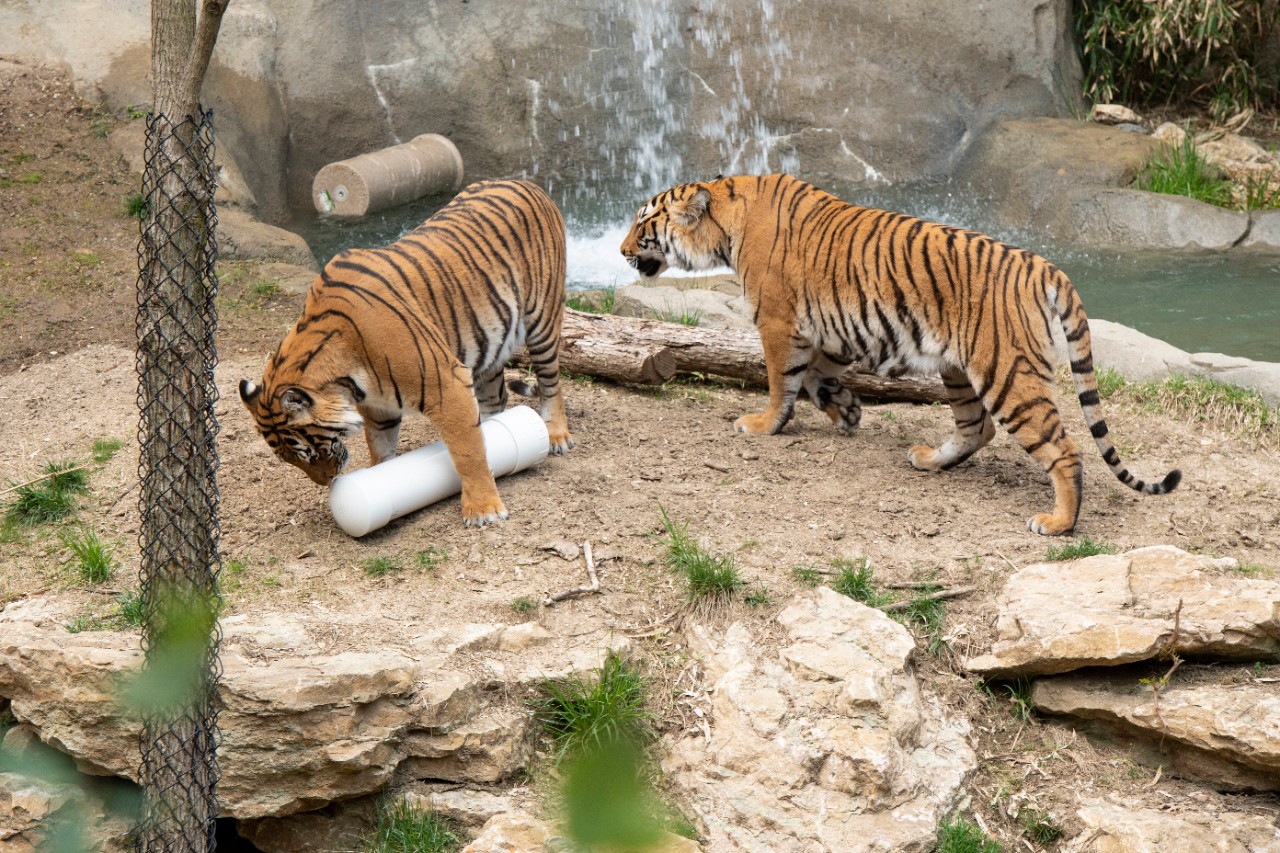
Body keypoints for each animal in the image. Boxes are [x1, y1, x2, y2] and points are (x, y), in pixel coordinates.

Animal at [239, 178, 574, 528]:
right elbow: (381, 448)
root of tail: (527, 183)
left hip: (542, 320)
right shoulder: (379, 408)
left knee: (551, 382)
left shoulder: (448, 385)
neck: (349, 381)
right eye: (291, 460)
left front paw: (484, 509)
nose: (326, 481)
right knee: (497, 400)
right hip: (489, 346)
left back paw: (556, 434)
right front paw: (381, 479)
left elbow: (467, 451)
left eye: (309, 453)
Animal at [619, 173, 1180, 535]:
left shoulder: (779, 323)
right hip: (960, 367)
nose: (621, 251)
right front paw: (846, 411)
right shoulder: (832, 333)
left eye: (643, 222)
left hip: (1007, 371)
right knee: (977, 427)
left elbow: (782, 381)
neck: (728, 220)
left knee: (1063, 448)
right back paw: (930, 460)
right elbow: (816, 379)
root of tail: (1047, 267)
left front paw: (761, 425)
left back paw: (1058, 523)